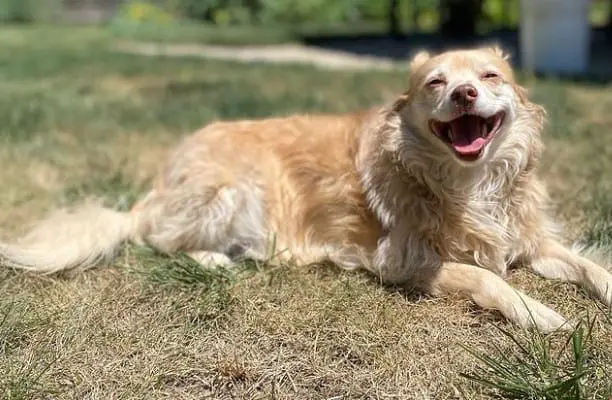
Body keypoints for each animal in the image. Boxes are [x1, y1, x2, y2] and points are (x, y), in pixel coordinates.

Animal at [1, 47, 612, 332]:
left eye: (490, 77)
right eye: (435, 82)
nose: (463, 93)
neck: (469, 183)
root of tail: (155, 188)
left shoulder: (531, 239)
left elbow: (586, 264)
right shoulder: (402, 262)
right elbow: (487, 277)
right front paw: (537, 313)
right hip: (231, 189)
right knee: (159, 239)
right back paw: (216, 260)